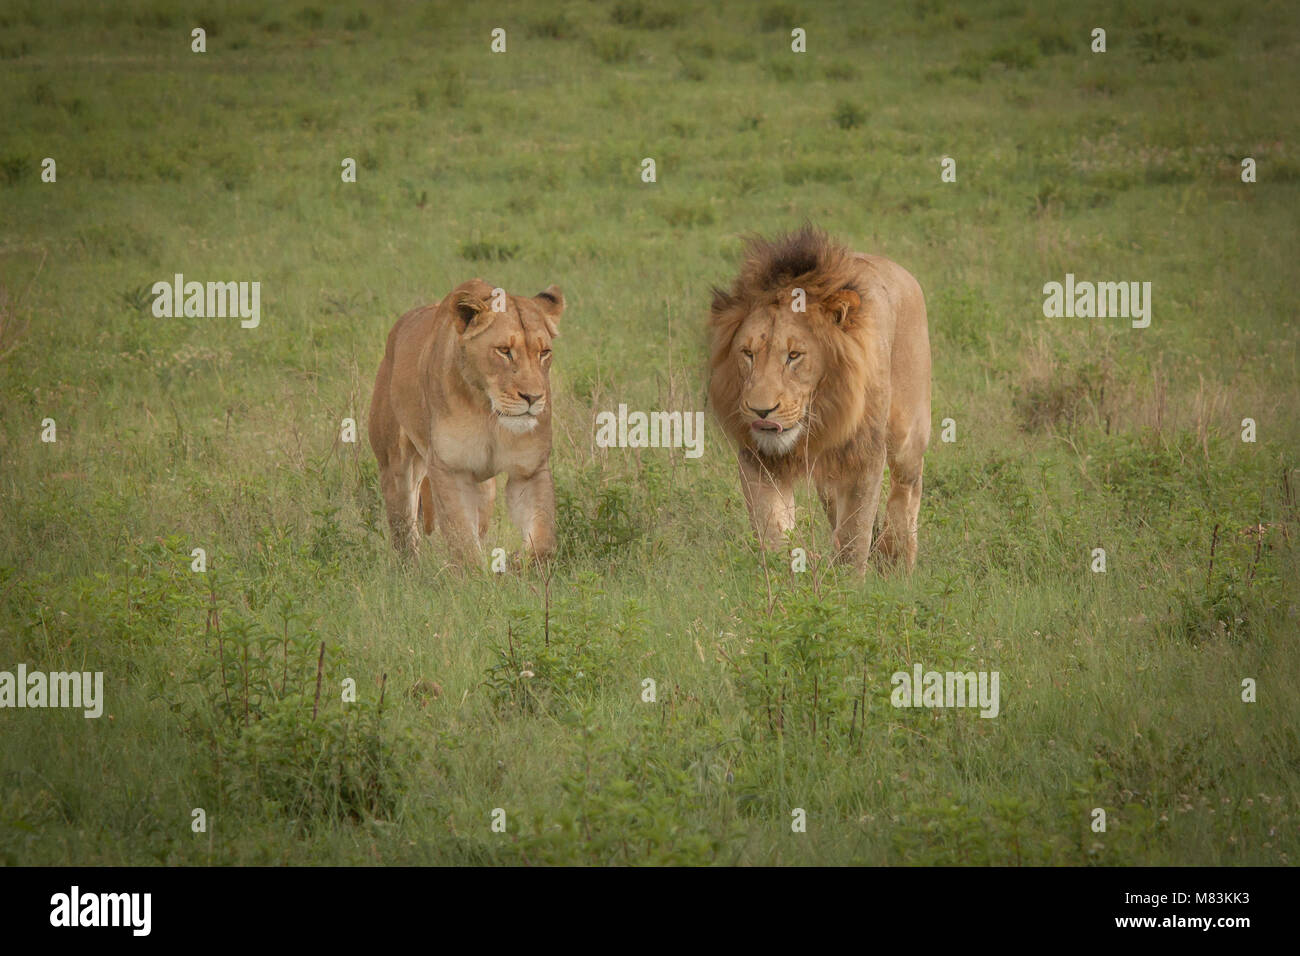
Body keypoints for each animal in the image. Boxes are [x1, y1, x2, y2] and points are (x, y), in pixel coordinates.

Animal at [369, 277, 566, 564]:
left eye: (544, 352)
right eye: (504, 351)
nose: (533, 397)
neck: (489, 414)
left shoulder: (529, 470)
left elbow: (542, 540)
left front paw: (515, 562)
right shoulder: (450, 469)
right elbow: (463, 544)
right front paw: (476, 574)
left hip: (484, 490)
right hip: (395, 466)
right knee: (404, 532)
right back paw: (411, 569)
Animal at [707, 226, 930, 567]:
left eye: (794, 356)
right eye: (747, 354)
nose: (761, 411)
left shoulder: (864, 454)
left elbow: (854, 533)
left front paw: (849, 577)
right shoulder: (757, 456)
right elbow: (771, 527)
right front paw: (793, 564)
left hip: (908, 435)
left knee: (905, 491)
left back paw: (897, 560)